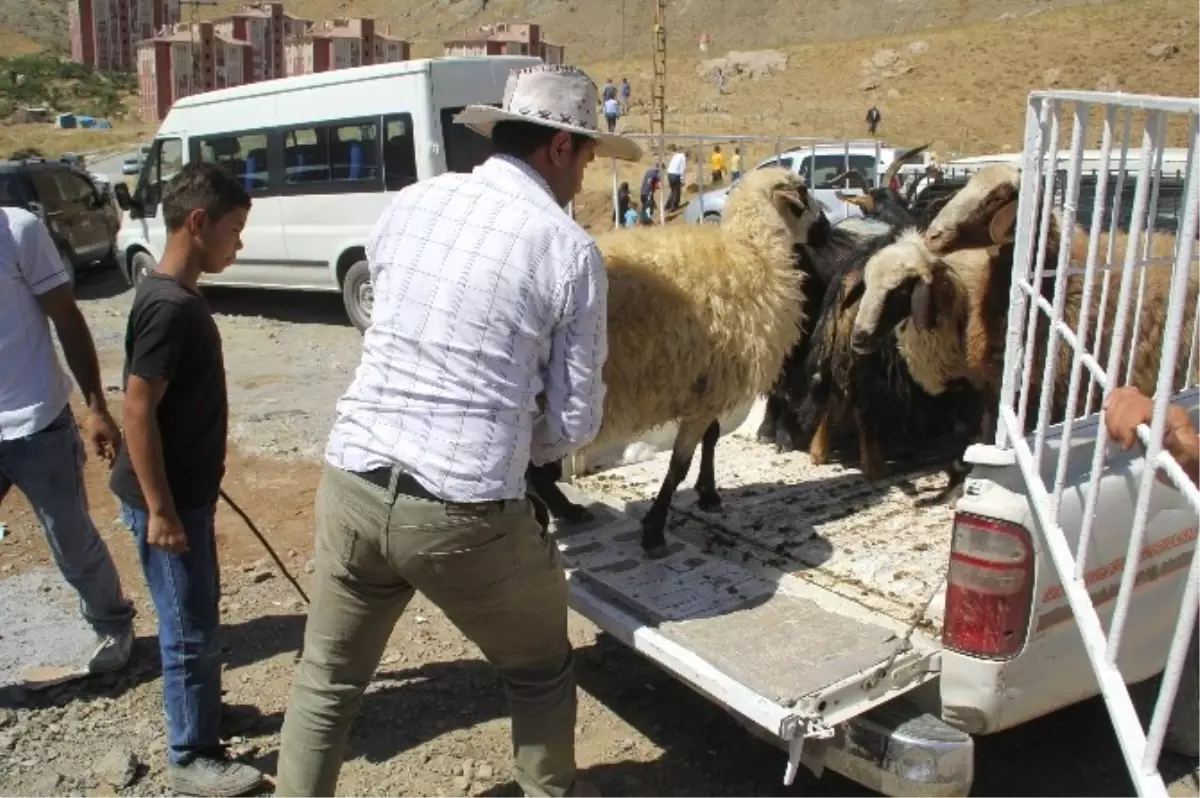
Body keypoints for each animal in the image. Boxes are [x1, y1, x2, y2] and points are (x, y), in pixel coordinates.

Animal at [530, 168, 820, 554]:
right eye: (803, 194)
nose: (826, 227)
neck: (756, 252)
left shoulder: (707, 384)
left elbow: (711, 438)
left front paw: (707, 494)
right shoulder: (708, 393)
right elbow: (679, 464)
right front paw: (655, 528)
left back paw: (564, 512)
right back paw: (558, 512)